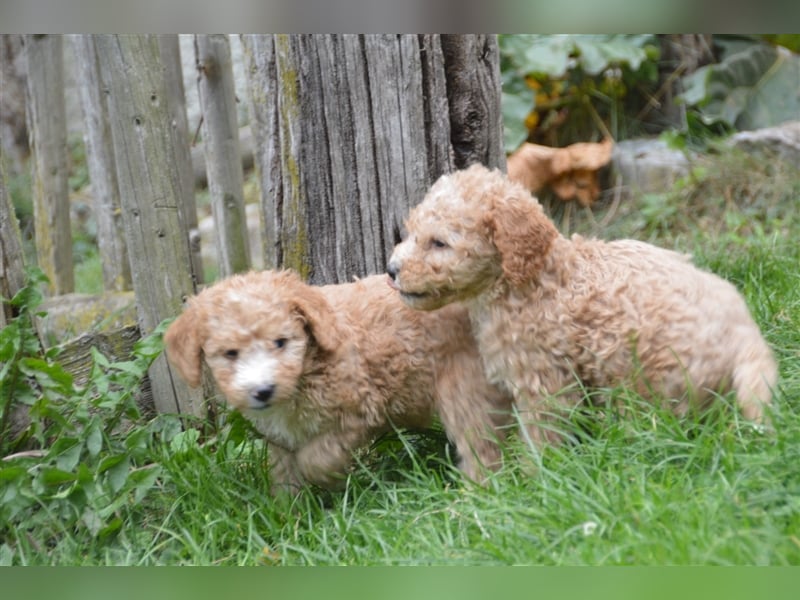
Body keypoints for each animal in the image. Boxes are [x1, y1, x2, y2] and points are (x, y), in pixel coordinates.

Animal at [165, 270, 510, 494]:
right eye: (230, 353)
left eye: (280, 343)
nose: (263, 390)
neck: (309, 367)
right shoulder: (280, 440)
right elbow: (285, 475)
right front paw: (289, 517)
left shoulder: (357, 413)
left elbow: (315, 459)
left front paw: (330, 482)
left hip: (463, 388)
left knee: (481, 445)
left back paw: (477, 494)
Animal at [388, 164, 776, 450]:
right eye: (410, 233)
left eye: (439, 243)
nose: (392, 269)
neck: (530, 279)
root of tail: (746, 338)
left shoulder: (541, 378)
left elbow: (543, 434)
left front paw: (535, 477)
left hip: (653, 371)